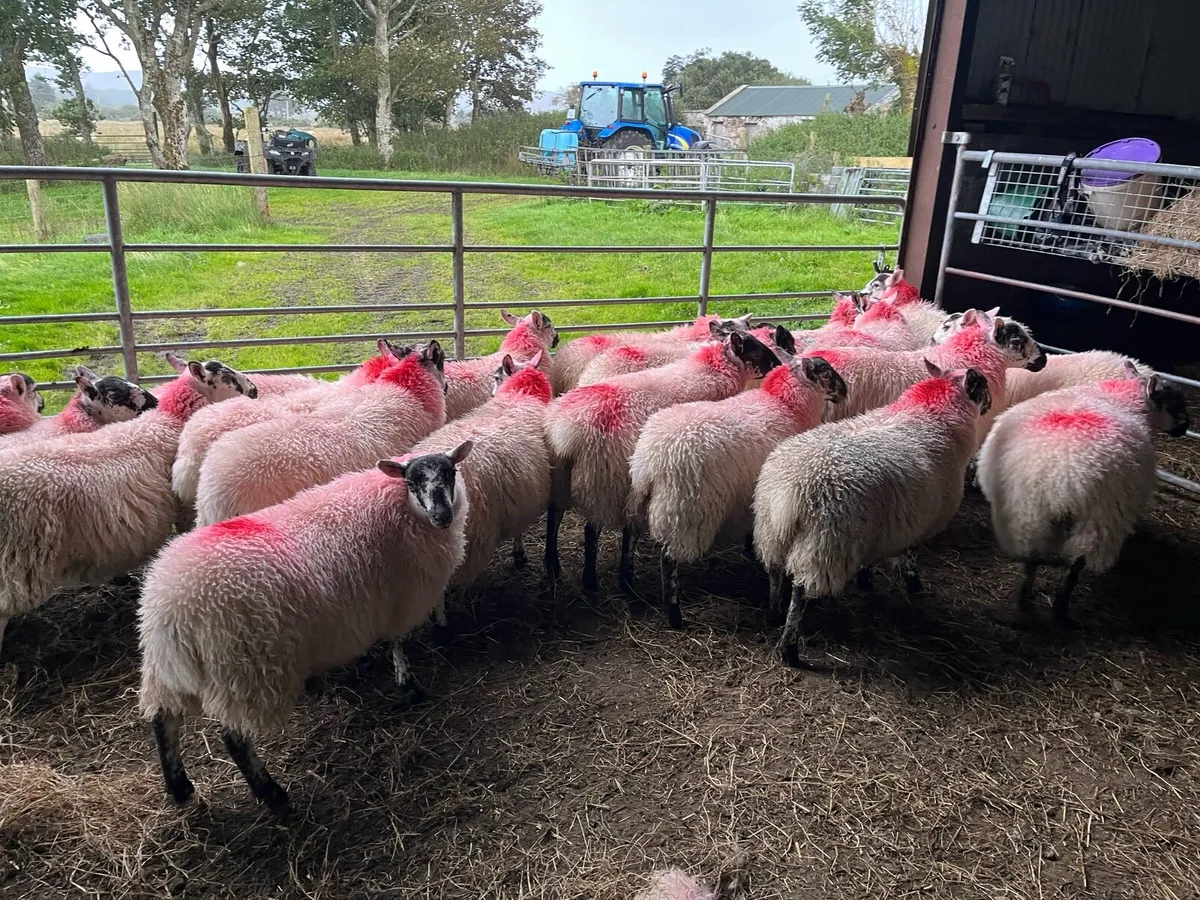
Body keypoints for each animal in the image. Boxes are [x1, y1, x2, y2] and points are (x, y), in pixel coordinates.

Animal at [138, 441, 473, 812]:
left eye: (450, 473)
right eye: (412, 483)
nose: (442, 515)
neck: (400, 508)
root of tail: (170, 609)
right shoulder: (399, 597)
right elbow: (398, 642)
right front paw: (410, 683)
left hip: (167, 670)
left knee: (163, 719)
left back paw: (180, 787)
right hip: (244, 670)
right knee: (234, 738)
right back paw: (273, 796)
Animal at [545, 331, 781, 592]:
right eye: (756, 353)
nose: (779, 365)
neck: (715, 367)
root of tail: (565, 433)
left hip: (560, 476)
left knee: (554, 516)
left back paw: (553, 567)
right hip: (602, 478)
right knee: (591, 529)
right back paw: (592, 581)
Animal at [629, 354, 847, 627]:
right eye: (825, 373)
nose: (845, 391)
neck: (784, 405)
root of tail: (650, 460)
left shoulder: (754, 496)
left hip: (644, 502)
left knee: (630, 538)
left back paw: (627, 584)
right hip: (684, 510)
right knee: (668, 560)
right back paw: (675, 616)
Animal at [754, 362, 992, 667]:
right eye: (982, 386)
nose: (989, 405)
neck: (933, 413)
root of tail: (790, 492)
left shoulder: (880, 526)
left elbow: (870, 559)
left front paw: (866, 579)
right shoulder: (922, 520)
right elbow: (911, 554)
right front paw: (913, 583)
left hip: (771, 532)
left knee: (773, 572)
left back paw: (774, 615)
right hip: (824, 543)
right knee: (800, 592)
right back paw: (790, 649)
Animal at [977, 364, 1190, 626]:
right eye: (1174, 400)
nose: (1185, 427)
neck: (1125, 396)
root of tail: (1062, 478)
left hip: (1025, 511)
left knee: (1031, 558)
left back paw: (1018, 607)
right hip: (1100, 520)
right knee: (1076, 567)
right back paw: (1061, 613)